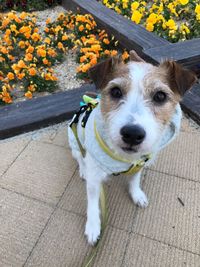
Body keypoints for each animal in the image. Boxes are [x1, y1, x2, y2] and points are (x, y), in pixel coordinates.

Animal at [68, 50, 196, 245]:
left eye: (160, 96)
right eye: (115, 91)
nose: (132, 134)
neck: (124, 159)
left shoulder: (139, 164)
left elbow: (135, 180)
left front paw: (137, 195)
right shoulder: (95, 177)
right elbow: (92, 201)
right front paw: (93, 227)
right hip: (74, 141)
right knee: (80, 157)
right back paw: (82, 170)